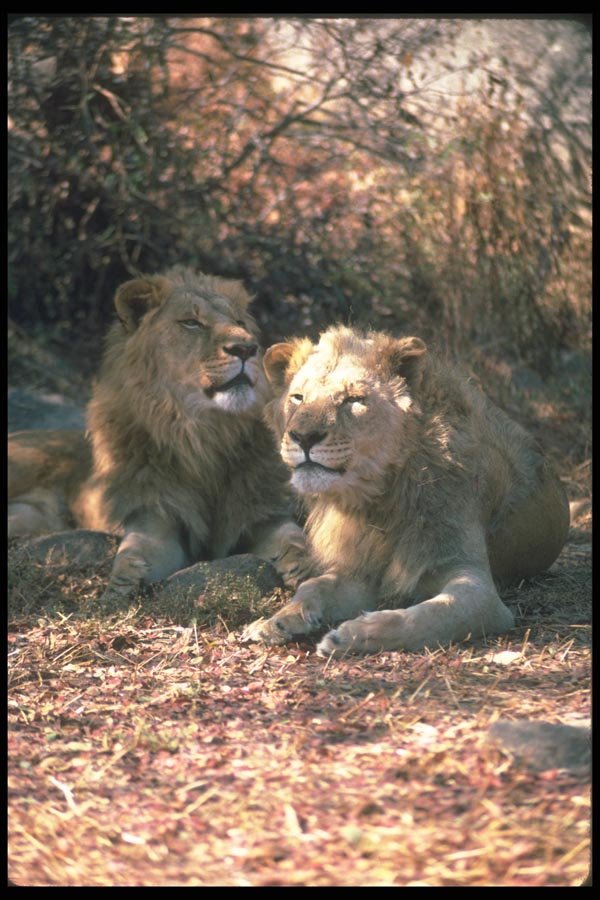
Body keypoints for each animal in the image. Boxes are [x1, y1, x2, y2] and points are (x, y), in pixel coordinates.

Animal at [8, 267, 310, 598]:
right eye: (191, 322)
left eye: (240, 323)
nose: (247, 348)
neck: (205, 434)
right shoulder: (157, 515)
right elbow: (134, 553)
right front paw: (118, 592)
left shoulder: (259, 513)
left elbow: (293, 538)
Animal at [241, 326, 570, 656]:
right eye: (297, 398)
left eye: (354, 400)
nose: (303, 437)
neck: (380, 500)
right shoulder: (361, 572)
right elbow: (316, 586)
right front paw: (276, 621)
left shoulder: (480, 589)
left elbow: (431, 616)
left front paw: (354, 634)